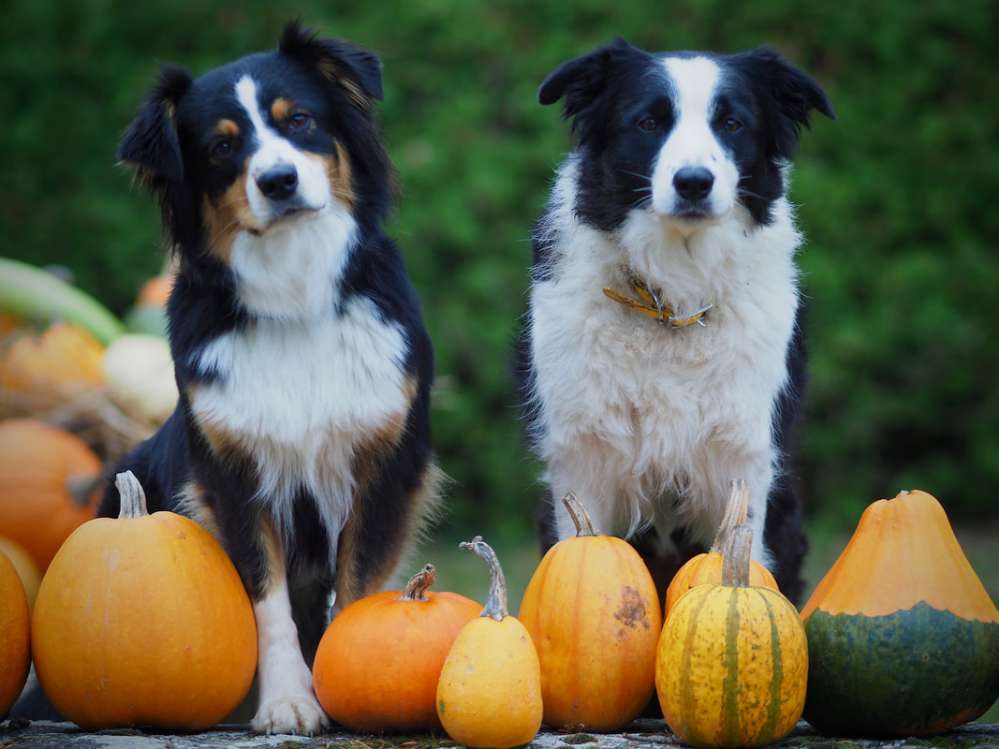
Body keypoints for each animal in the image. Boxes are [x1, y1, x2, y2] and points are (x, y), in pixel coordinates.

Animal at [103, 21, 440, 732]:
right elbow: (268, 601)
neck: (295, 296)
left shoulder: (384, 463)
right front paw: (289, 700)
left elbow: (359, 584)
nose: (279, 180)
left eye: (301, 120)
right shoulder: (232, 474)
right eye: (222, 146)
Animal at [520, 41, 832, 600]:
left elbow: (739, 559)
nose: (693, 183)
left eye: (731, 123)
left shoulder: (742, 461)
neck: (672, 304)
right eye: (649, 122)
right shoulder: (581, 463)